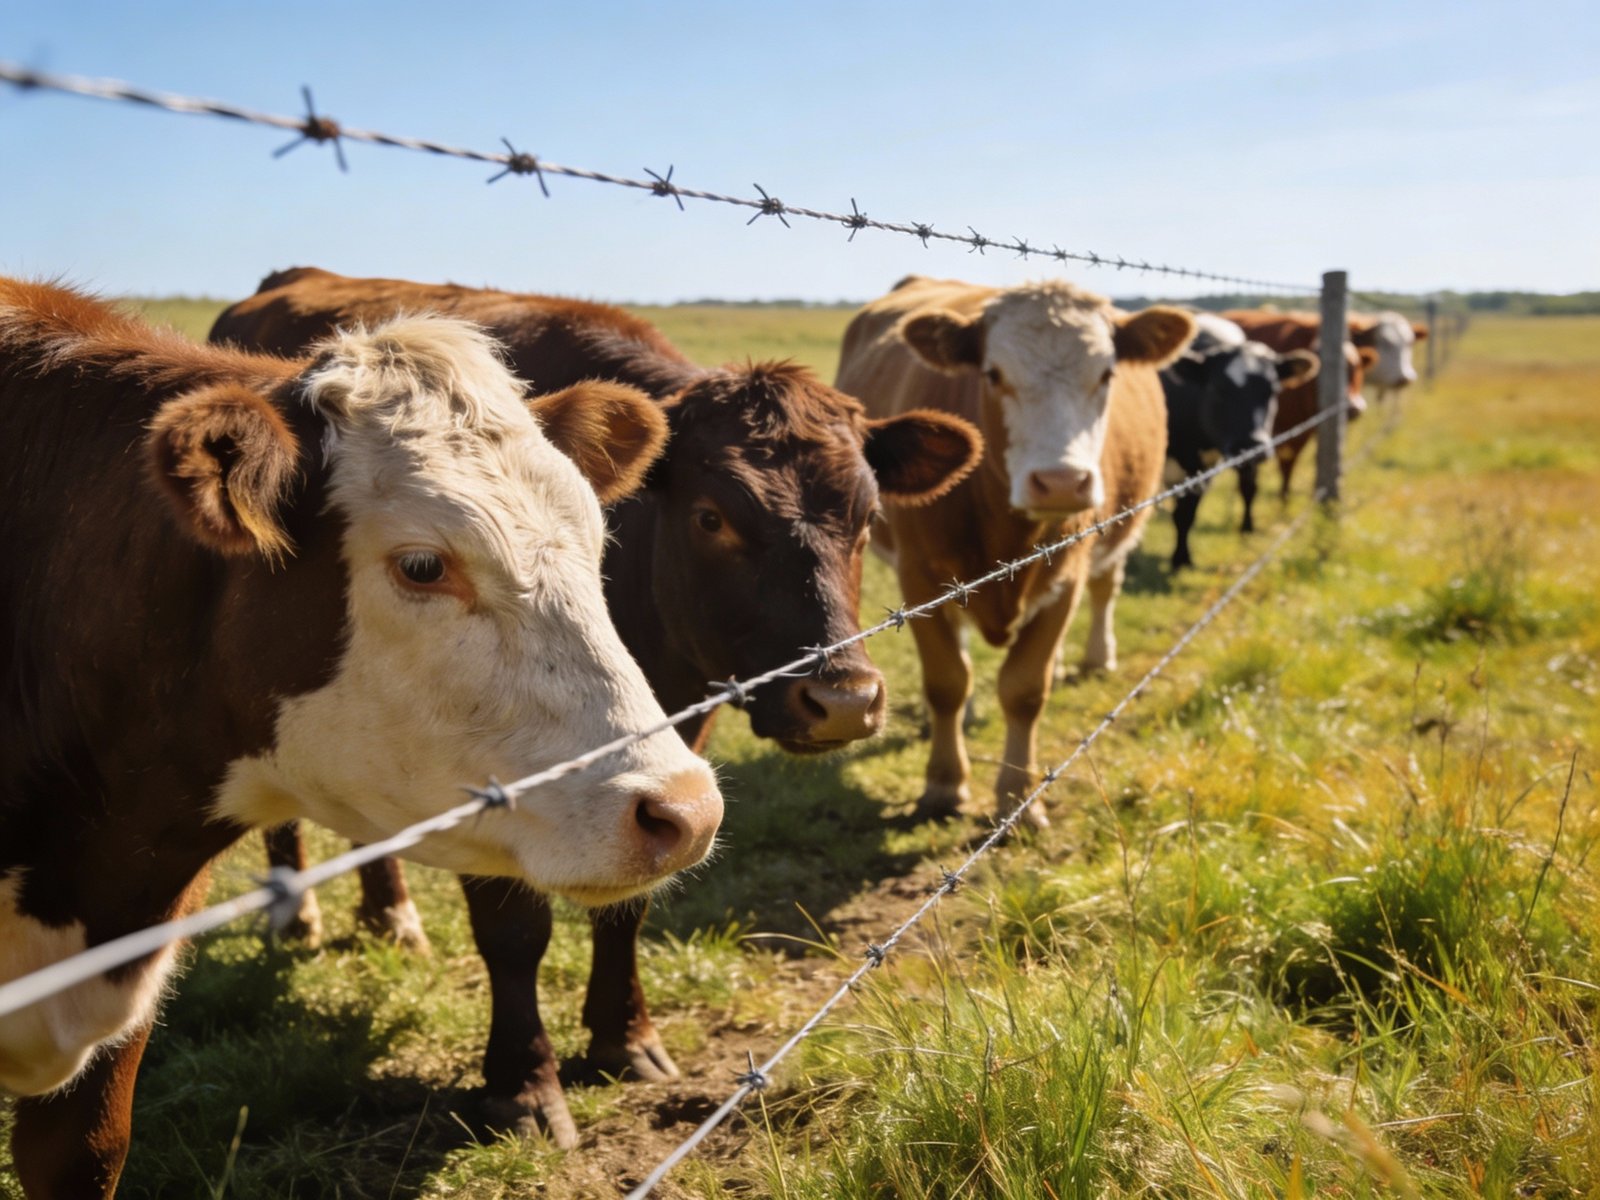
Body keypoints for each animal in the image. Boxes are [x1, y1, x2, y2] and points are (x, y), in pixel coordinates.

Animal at [208, 266, 984, 1145]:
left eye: (866, 515)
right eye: (712, 517)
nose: (844, 700)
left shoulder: (663, 751)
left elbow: (632, 904)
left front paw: (623, 1037)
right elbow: (514, 931)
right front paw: (522, 1082)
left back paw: (389, 915)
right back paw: (296, 913)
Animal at [835, 275, 1192, 825]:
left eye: (1106, 373)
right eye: (993, 373)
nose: (1061, 482)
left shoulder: (1067, 574)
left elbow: (1025, 689)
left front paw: (1019, 799)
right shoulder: (918, 576)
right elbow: (946, 682)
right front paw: (944, 783)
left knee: (1105, 589)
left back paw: (1095, 657)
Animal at [1160, 312, 1319, 569]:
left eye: (1273, 390)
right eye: (1217, 388)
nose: (1251, 446)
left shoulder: (1202, 468)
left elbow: (1187, 513)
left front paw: (1182, 558)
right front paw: (1179, 559)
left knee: (1248, 488)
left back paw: (1247, 528)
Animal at [1222, 310, 1378, 498]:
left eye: (1357, 367)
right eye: (1325, 370)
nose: (1354, 407)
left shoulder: (1304, 430)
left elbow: (1295, 462)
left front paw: (1286, 496)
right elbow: (1282, 463)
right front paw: (1283, 498)